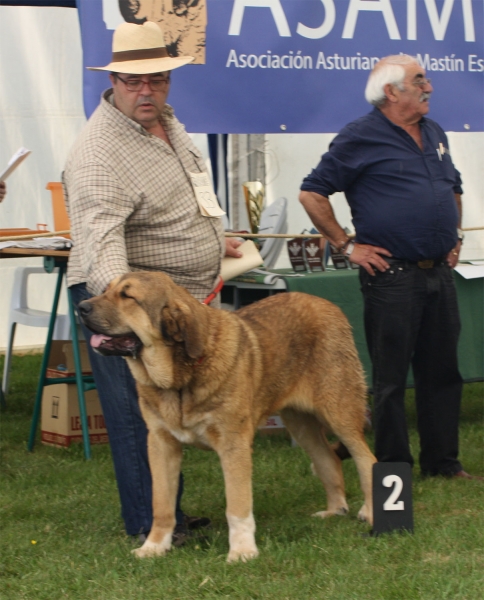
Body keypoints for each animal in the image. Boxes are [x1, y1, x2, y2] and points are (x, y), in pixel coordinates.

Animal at [78, 272, 374, 564]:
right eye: (105, 290)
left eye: (127, 296)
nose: (81, 307)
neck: (180, 378)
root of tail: (326, 303)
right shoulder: (161, 444)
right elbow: (161, 505)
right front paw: (154, 547)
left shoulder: (234, 445)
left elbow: (237, 505)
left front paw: (242, 551)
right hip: (300, 423)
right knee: (328, 458)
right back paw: (334, 510)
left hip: (339, 412)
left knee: (365, 459)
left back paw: (369, 513)